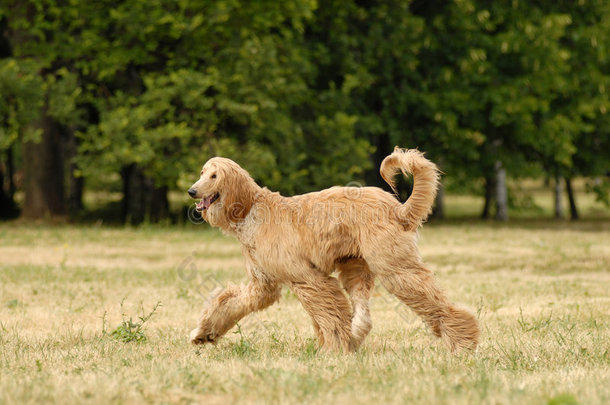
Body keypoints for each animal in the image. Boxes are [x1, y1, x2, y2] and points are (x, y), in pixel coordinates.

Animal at [188, 148, 478, 350]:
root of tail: (396, 208)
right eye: (202, 173)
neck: (251, 210)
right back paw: (356, 337)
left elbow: (329, 314)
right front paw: (204, 333)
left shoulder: (307, 278)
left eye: (214, 176)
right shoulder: (263, 284)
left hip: (393, 265)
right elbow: (230, 302)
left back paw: (462, 342)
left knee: (430, 299)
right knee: (363, 314)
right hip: (355, 265)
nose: (191, 191)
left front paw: (332, 350)